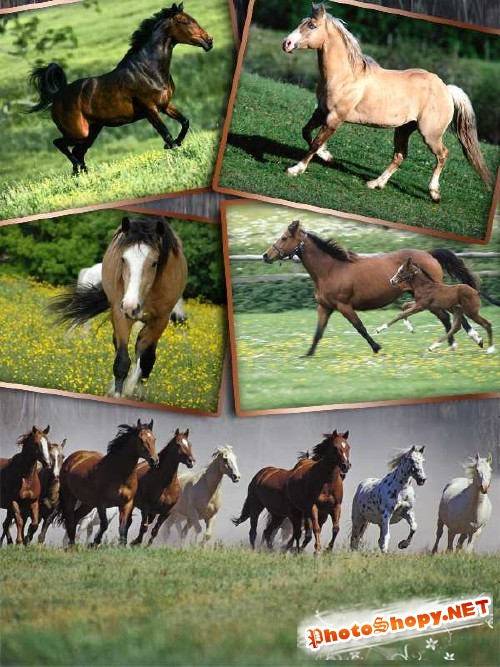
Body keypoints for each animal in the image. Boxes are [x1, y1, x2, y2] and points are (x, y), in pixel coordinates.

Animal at [28, 3, 213, 175]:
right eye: (185, 21)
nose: (209, 41)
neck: (148, 70)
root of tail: (57, 95)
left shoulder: (165, 105)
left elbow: (185, 121)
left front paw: (177, 143)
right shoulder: (150, 109)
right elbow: (165, 133)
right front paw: (171, 147)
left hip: (92, 131)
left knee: (78, 152)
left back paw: (81, 171)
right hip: (79, 132)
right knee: (59, 144)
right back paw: (79, 168)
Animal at [50, 215, 187, 398]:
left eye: (154, 263)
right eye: (123, 259)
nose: (130, 306)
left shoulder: (159, 320)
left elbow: (146, 359)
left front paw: (136, 393)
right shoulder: (121, 314)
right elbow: (122, 362)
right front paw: (118, 394)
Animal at [263, 220, 495, 355]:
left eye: (284, 238)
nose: (266, 256)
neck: (331, 269)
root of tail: (428, 254)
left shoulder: (344, 306)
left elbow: (360, 328)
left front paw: (377, 347)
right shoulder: (325, 307)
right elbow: (318, 332)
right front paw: (308, 354)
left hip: (432, 297)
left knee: (452, 317)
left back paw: (472, 340)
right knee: (448, 318)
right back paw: (454, 344)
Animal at [282, 4, 491, 202]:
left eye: (311, 25)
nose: (286, 44)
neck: (345, 76)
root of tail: (446, 89)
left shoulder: (335, 118)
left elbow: (316, 142)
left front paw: (295, 169)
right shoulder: (321, 111)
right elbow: (306, 133)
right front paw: (327, 156)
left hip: (430, 134)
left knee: (442, 155)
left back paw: (434, 194)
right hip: (404, 129)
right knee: (400, 156)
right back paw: (375, 184)